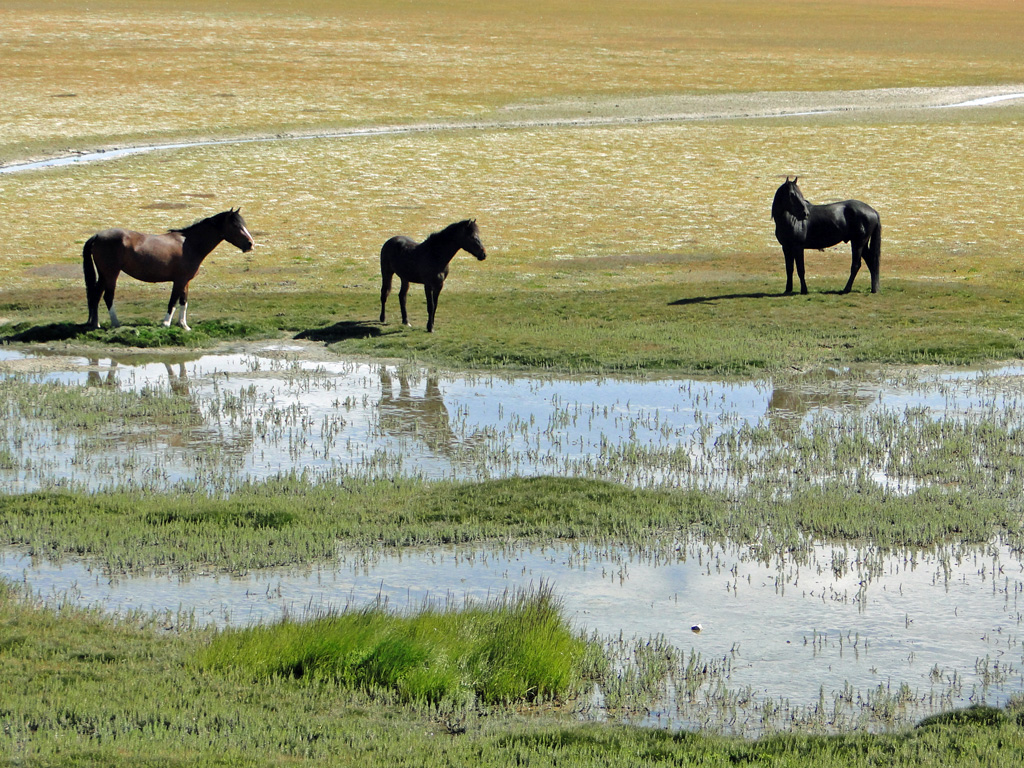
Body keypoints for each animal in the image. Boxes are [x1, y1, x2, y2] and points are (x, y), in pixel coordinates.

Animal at [81, 210, 253, 331]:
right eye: (236, 226)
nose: (251, 244)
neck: (190, 244)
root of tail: (97, 236)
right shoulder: (179, 281)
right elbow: (173, 302)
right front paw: (166, 324)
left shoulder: (185, 281)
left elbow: (184, 301)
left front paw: (184, 325)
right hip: (111, 274)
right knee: (108, 297)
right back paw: (116, 323)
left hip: (104, 275)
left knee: (96, 296)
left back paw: (96, 324)